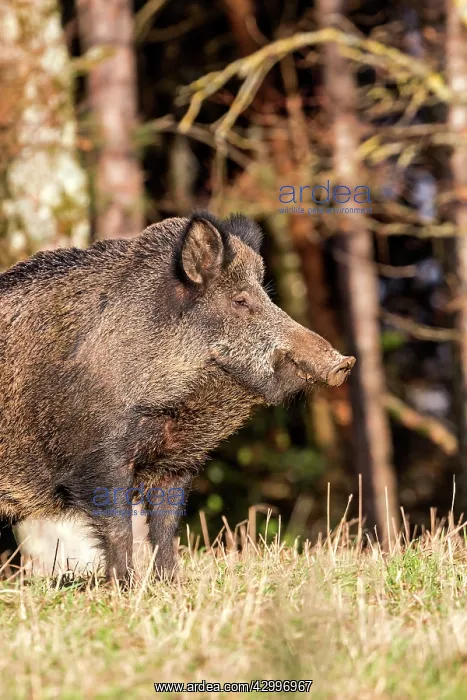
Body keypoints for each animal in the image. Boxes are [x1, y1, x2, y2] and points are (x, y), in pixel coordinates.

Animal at [0, 211, 355, 582]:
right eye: (240, 300)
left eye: (267, 295)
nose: (344, 362)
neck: (177, 407)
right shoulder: (98, 457)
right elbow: (119, 528)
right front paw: (125, 586)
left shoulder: (175, 464)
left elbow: (166, 527)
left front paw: (171, 583)